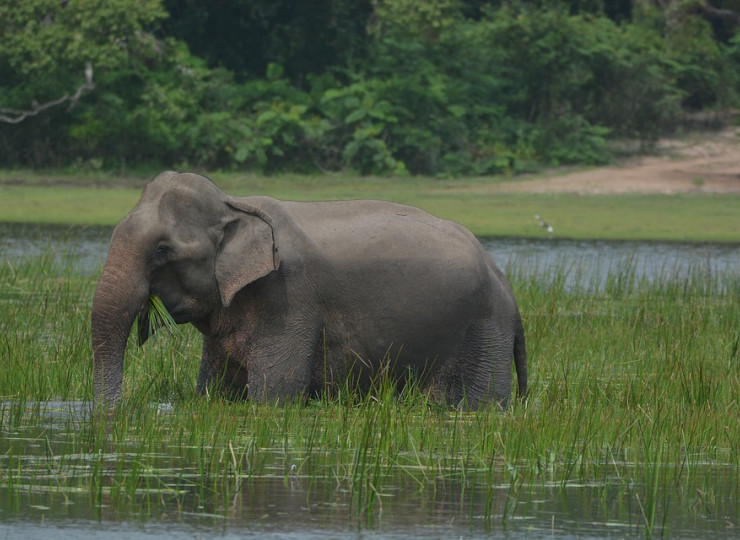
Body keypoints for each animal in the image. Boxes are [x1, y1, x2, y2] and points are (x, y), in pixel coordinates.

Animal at [91, 173, 528, 410]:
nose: (118, 411)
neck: (236, 203)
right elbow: (215, 391)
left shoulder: (287, 297)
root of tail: (506, 284)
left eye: (163, 250)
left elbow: (275, 394)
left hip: (483, 337)